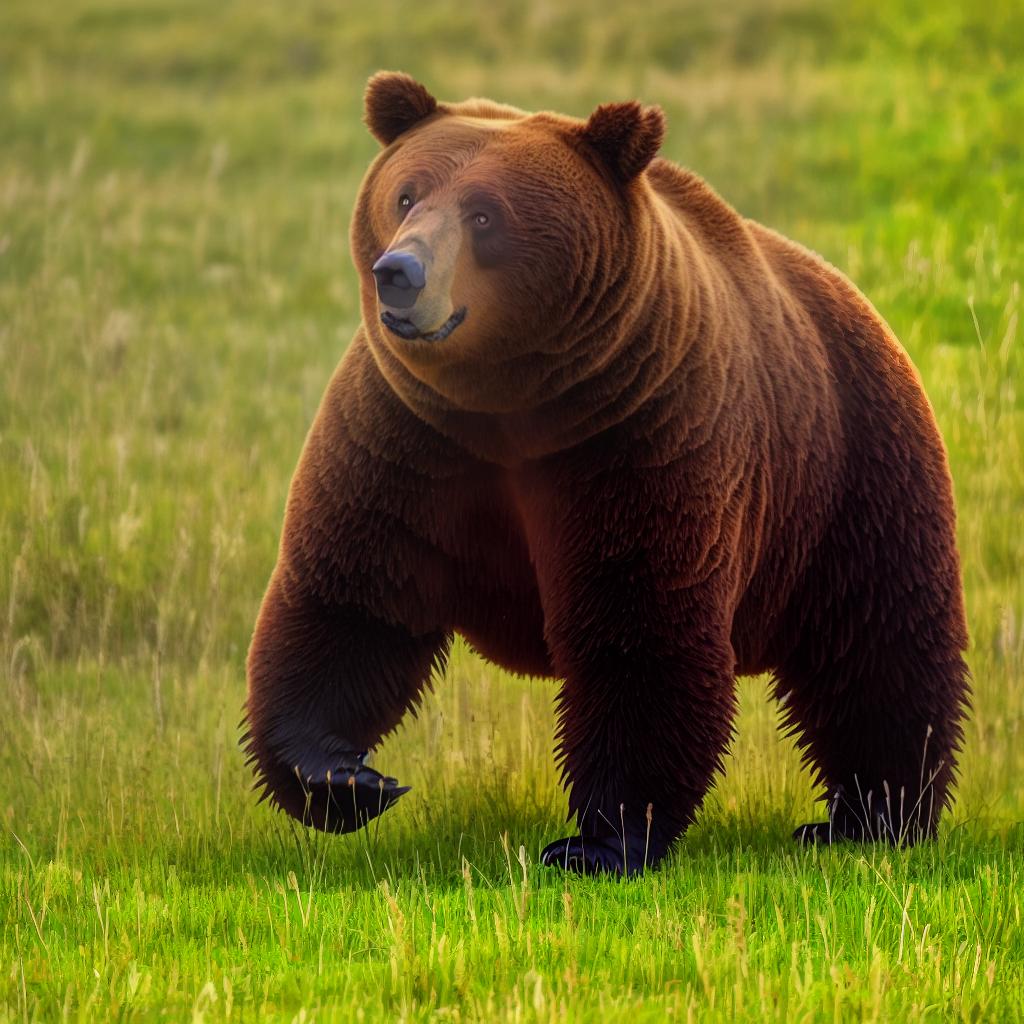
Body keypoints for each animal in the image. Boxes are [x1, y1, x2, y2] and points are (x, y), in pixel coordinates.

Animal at [239, 70, 966, 872]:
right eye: (405, 195)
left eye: (485, 214)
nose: (399, 272)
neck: (511, 405)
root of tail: (855, 298)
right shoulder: (408, 441)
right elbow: (353, 600)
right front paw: (346, 779)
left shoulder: (636, 440)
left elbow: (638, 624)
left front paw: (598, 841)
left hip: (849, 474)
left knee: (876, 648)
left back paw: (871, 816)